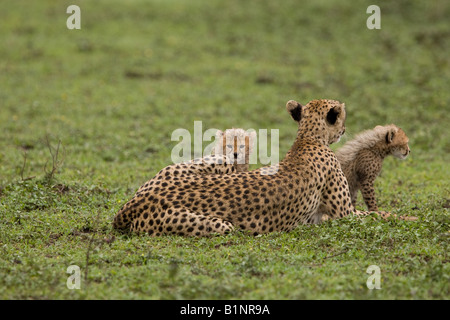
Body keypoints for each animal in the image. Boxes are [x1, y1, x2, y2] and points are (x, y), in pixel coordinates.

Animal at [113, 99, 412, 236]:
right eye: (342, 119)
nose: (345, 129)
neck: (308, 138)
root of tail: (132, 205)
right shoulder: (345, 215)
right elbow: (377, 215)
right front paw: (409, 218)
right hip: (222, 223)